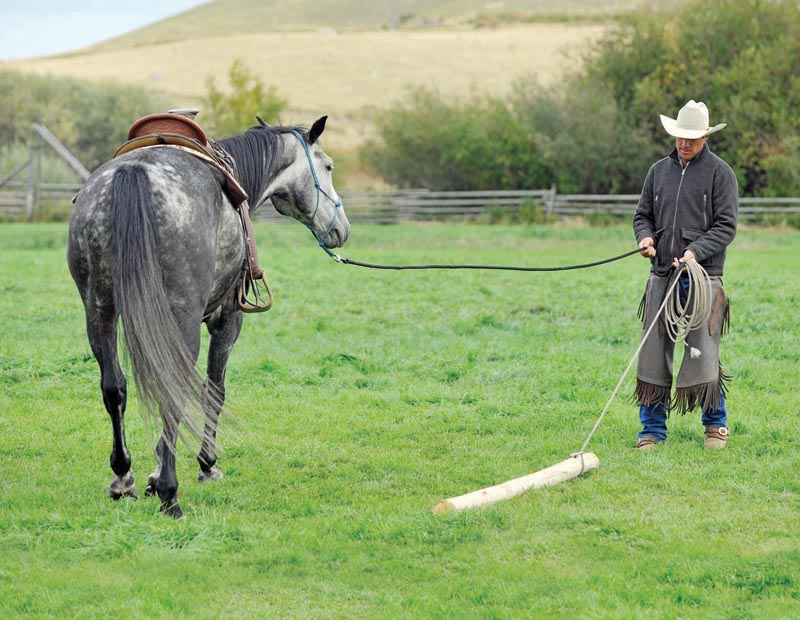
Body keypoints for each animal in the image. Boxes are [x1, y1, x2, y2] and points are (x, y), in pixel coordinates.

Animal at [67, 115, 350, 517]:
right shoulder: (227, 319)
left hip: (99, 311)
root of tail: (132, 174)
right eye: (328, 167)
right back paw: (170, 494)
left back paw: (123, 477)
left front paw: (152, 472)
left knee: (114, 388)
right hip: (181, 318)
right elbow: (215, 388)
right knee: (172, 388)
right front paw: (205, 464)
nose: (341, 229)